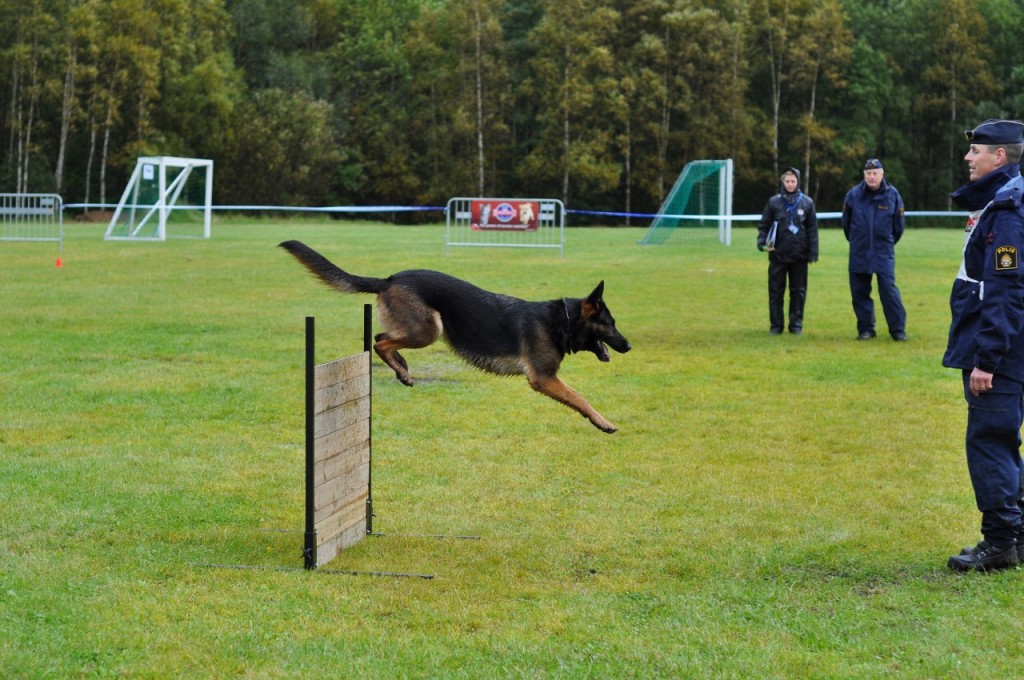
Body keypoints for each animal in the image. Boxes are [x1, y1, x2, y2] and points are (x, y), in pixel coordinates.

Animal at [282, 240, 630, 430]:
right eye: (611, 323)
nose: (628, 345)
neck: (563, 320)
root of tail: (390, 278)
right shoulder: (543, 378)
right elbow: (580, 398)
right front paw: (604, 423)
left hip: (418, 328)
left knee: (381, 337)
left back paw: (402, 367)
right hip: (429, 330)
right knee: (380, 343)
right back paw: (402, 371)